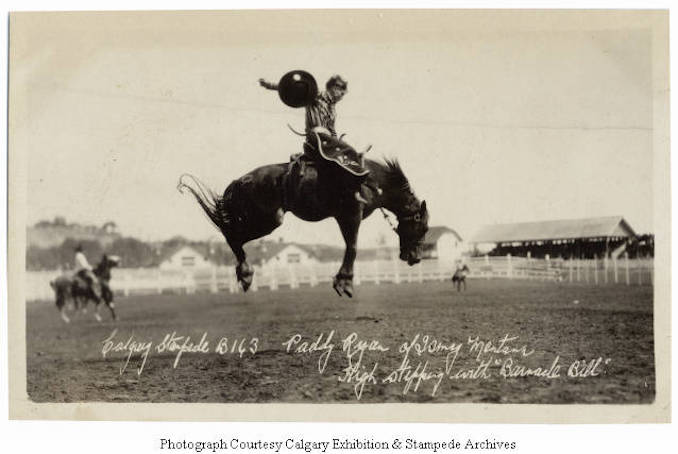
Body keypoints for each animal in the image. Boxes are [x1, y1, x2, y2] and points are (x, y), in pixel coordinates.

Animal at [177, 129, 430, 298]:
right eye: (423, 227)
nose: (416, 258)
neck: (373, 181)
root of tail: (240, 180)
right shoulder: (349, 214)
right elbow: (353, 247)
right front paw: (344, 283)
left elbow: (351, 246)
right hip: (267, 219)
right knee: (233, 236)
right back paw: (246, 274)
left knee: (233, 236)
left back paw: (245, 275)